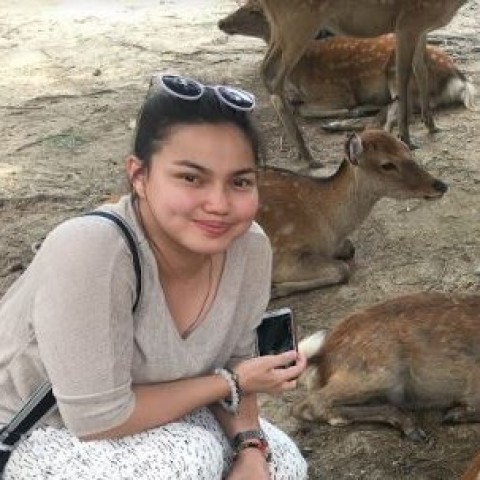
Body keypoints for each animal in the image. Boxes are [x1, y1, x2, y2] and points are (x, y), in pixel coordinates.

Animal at [218, 1, 475, 132]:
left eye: (253, 10)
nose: (221, 22)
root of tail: (458, 79)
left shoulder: (336, 91)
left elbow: (305, 109)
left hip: (391, 74)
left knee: (388, 113)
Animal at [256, 0, 468, 167]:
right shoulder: (407, 22)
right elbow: (404, 76)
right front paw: (406, 138)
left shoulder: (420, 27)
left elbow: (421, 70)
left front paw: (432, 125)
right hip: (299, 20)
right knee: (275, 77)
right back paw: (308, 154)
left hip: (281, 25)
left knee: (265, 69)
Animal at [256, 129, 447, 298]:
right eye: (387, 165)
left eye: (408, 150)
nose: (441, 185)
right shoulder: (282, 253)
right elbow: (343, 269)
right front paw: (275, 288)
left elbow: (349, 249)